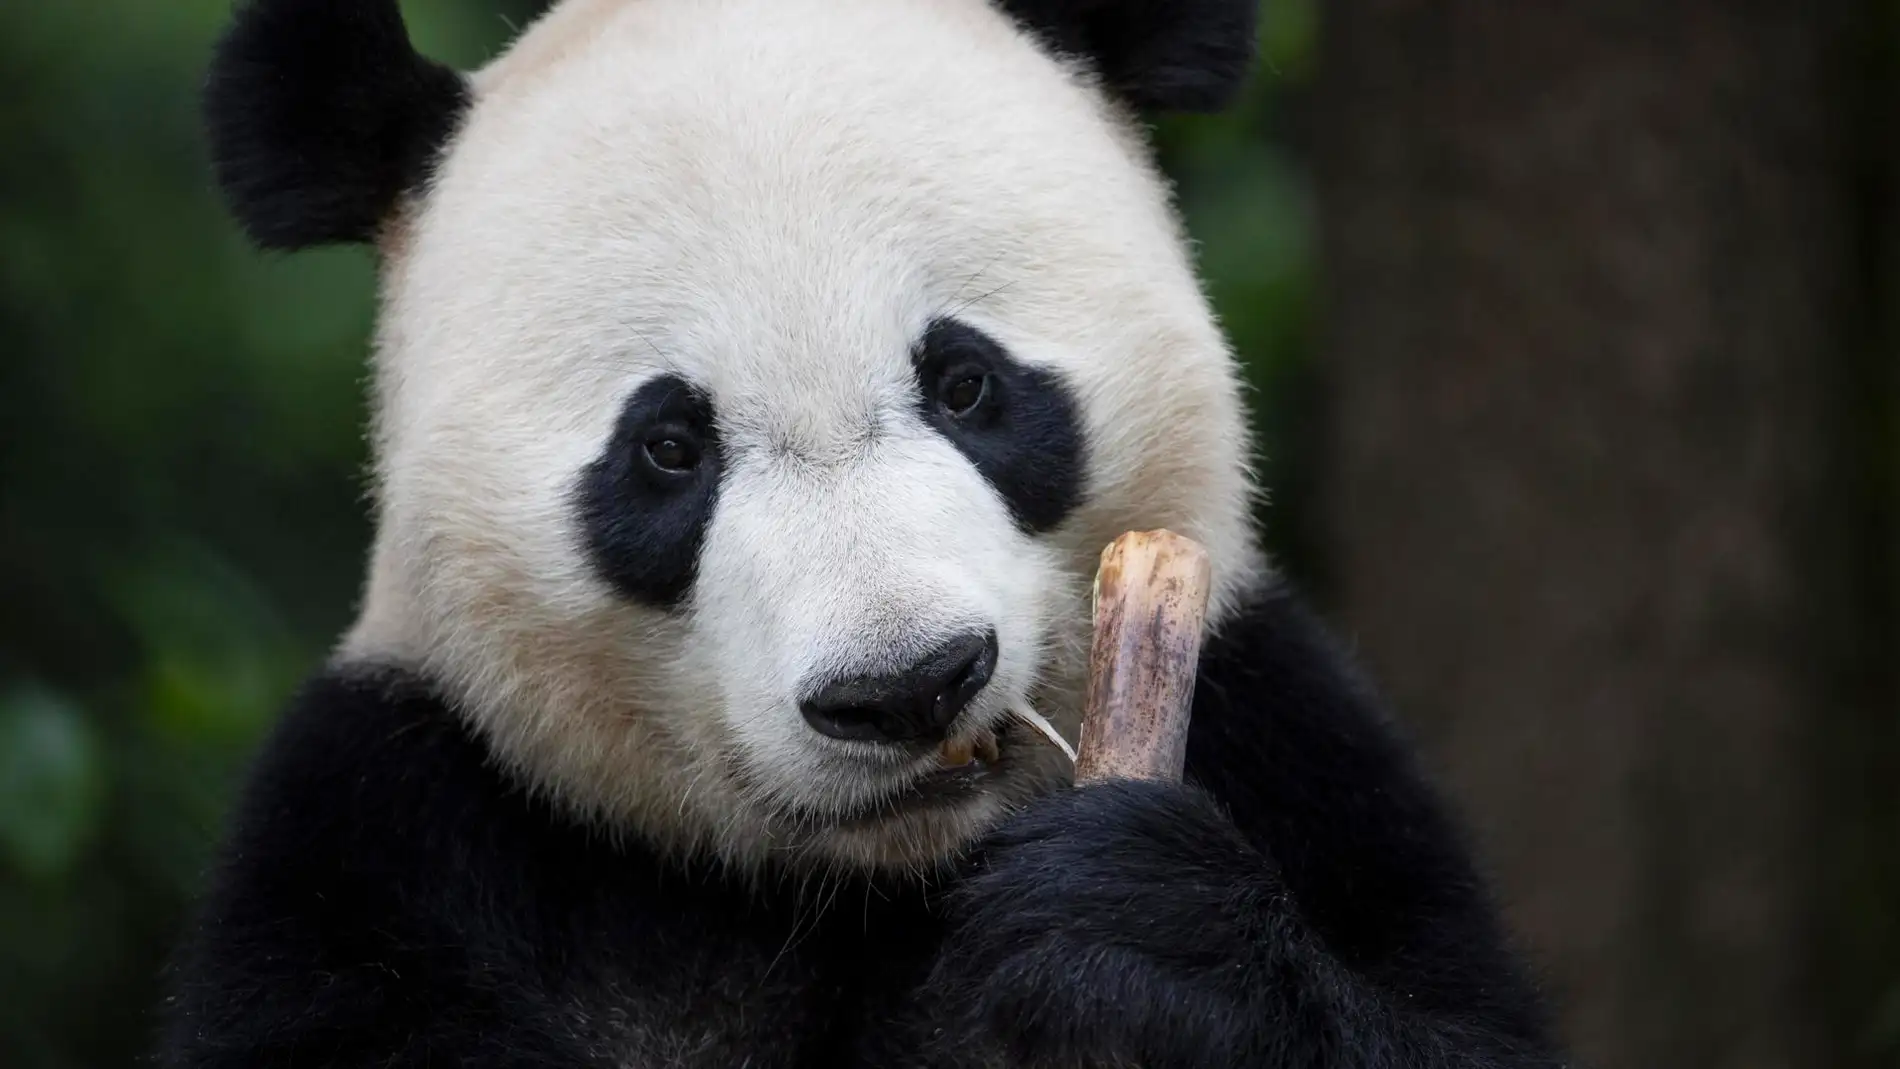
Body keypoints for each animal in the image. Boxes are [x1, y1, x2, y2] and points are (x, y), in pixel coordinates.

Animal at [161, 0, 1565, 1066]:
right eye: (668, 448)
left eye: (966, 383)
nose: (906, 687)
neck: (865, 881)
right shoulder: (380, 833)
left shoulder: (1290, 735)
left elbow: (1445, 1022)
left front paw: (1131, 935)